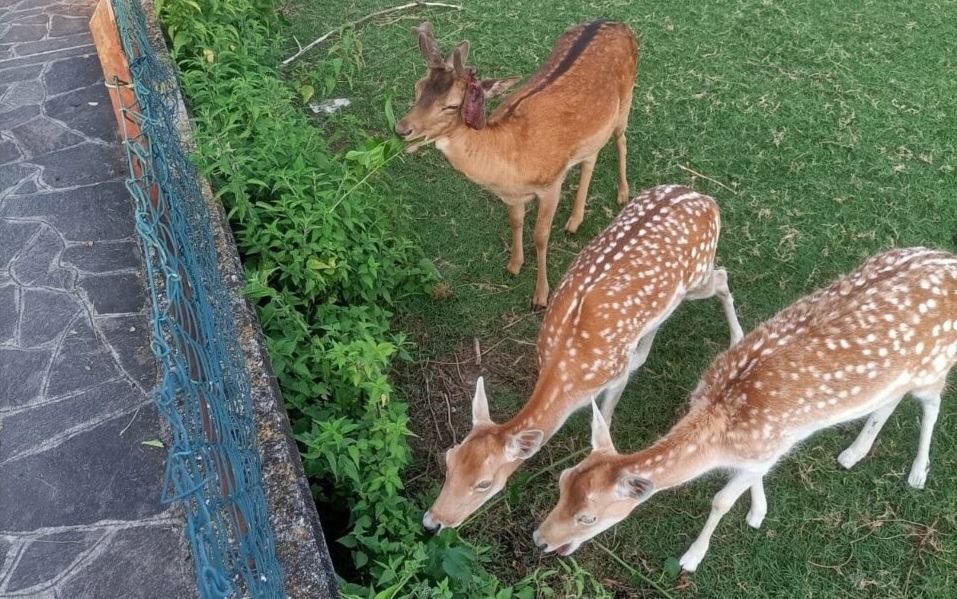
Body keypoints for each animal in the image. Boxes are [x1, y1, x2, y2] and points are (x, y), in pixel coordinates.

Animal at [392, 20, 640, 308]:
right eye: (418, 87)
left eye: (452, 106)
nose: (402, 130)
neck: (510, 161)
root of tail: (619, 24)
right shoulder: (512, 195)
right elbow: (516, 221)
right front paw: (513, 266)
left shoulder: (551, 183)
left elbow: (540, 236)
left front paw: (540, 296)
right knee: (591, 156)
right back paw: (574, 221)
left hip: (626, 101)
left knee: (621, 139)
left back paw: (622, 194)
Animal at [426, 185, 748, 532]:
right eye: (449, 459)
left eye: (484, 483)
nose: (432, 522)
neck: (568, 374)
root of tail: (705, 198)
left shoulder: (615, 373)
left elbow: (605, 417)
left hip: (699, 275)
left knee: (722, 276)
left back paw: (737, 337)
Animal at [536, 247, 956, 572]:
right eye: (562, 481)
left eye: (588, 516)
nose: (540, 539)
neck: (721, 424)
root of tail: (948, 260)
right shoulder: (764, 451)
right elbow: (753, 477)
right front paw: (758, 511)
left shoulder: (767, 446)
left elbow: (721, 500)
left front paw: (693, 557)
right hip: (902, 375)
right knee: (889, 399)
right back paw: (853, 453)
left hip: (934, 367)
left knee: (933, 405)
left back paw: (918, 472)